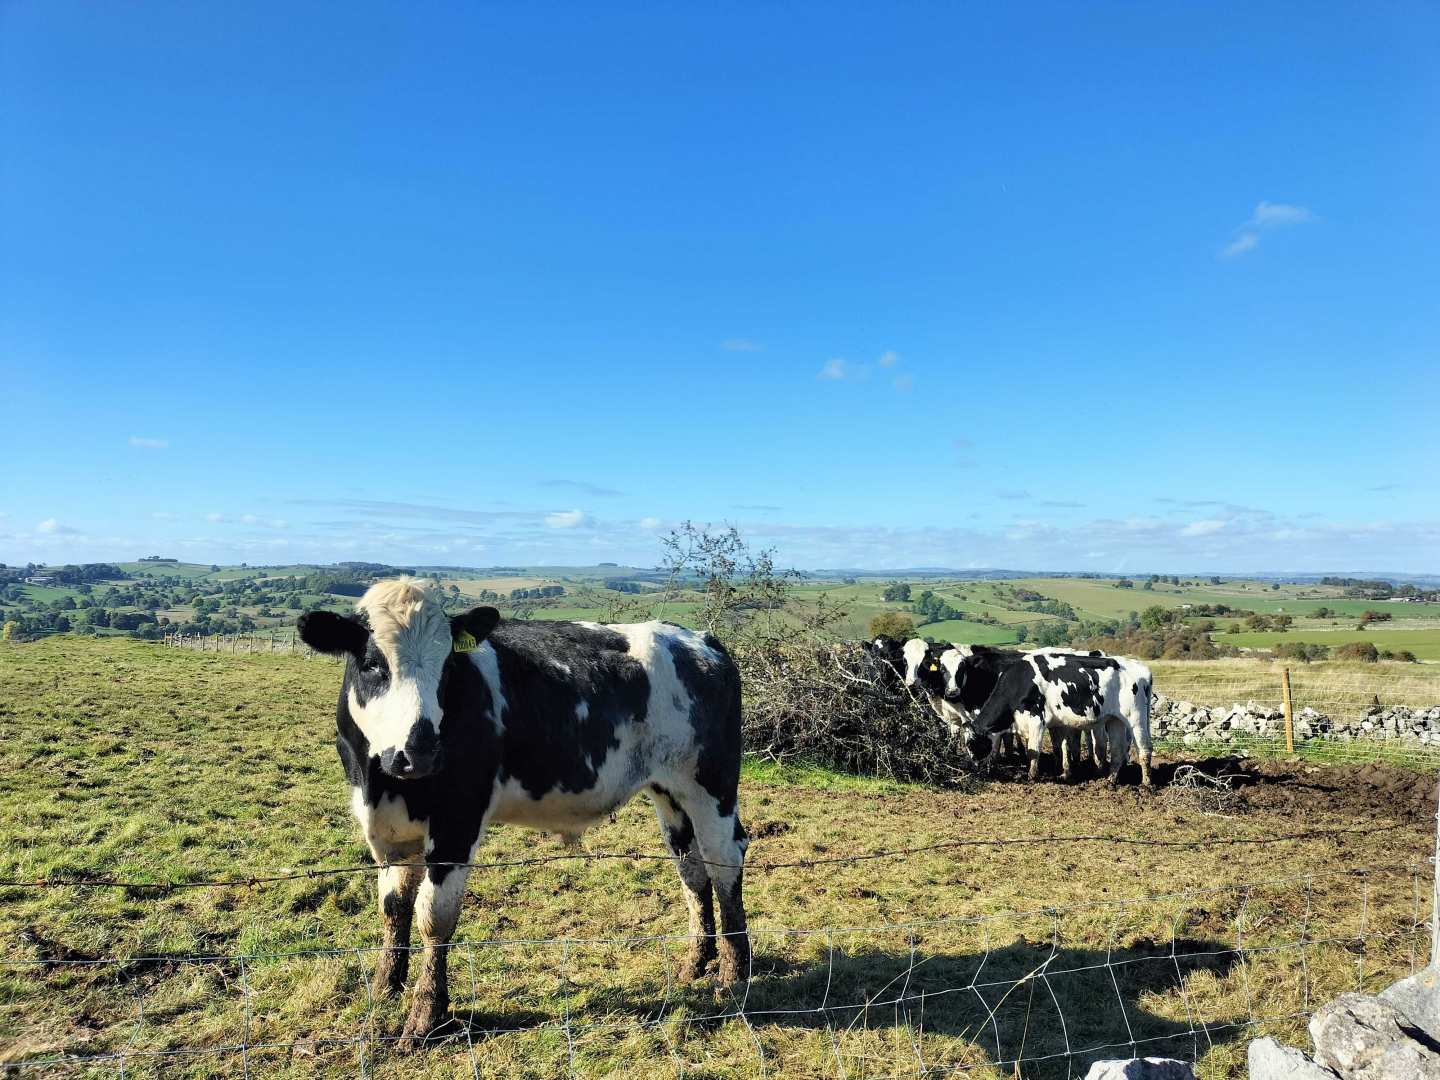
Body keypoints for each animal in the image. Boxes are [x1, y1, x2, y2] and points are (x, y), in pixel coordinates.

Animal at [300, 584, 754, 1048]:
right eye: (373, 664)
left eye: (447, 665)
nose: (420, 750)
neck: (383, 782)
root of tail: (699, 640)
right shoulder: (387, 832)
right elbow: (394, 908)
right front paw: (385, 987)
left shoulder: (457, 821)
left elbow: (434, 917)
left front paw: (426, 1016)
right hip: (670, 793)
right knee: (692, 870)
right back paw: (695, 963)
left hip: (711, 784)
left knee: (723, 862)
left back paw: (733, 974)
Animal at [967, 648, 1157, 789]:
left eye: (972, 744)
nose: (973, 769)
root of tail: (1142, 669)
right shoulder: (1056, 723)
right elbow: (1060, 748)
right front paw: (1061, 773)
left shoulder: (1037, 718)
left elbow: (1033, 750)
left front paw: (1031, 776)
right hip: (1115, 720)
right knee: (1117, 750)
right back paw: (1110, 781)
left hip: (1136, 718)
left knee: (1145, 749)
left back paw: (1146, 784)